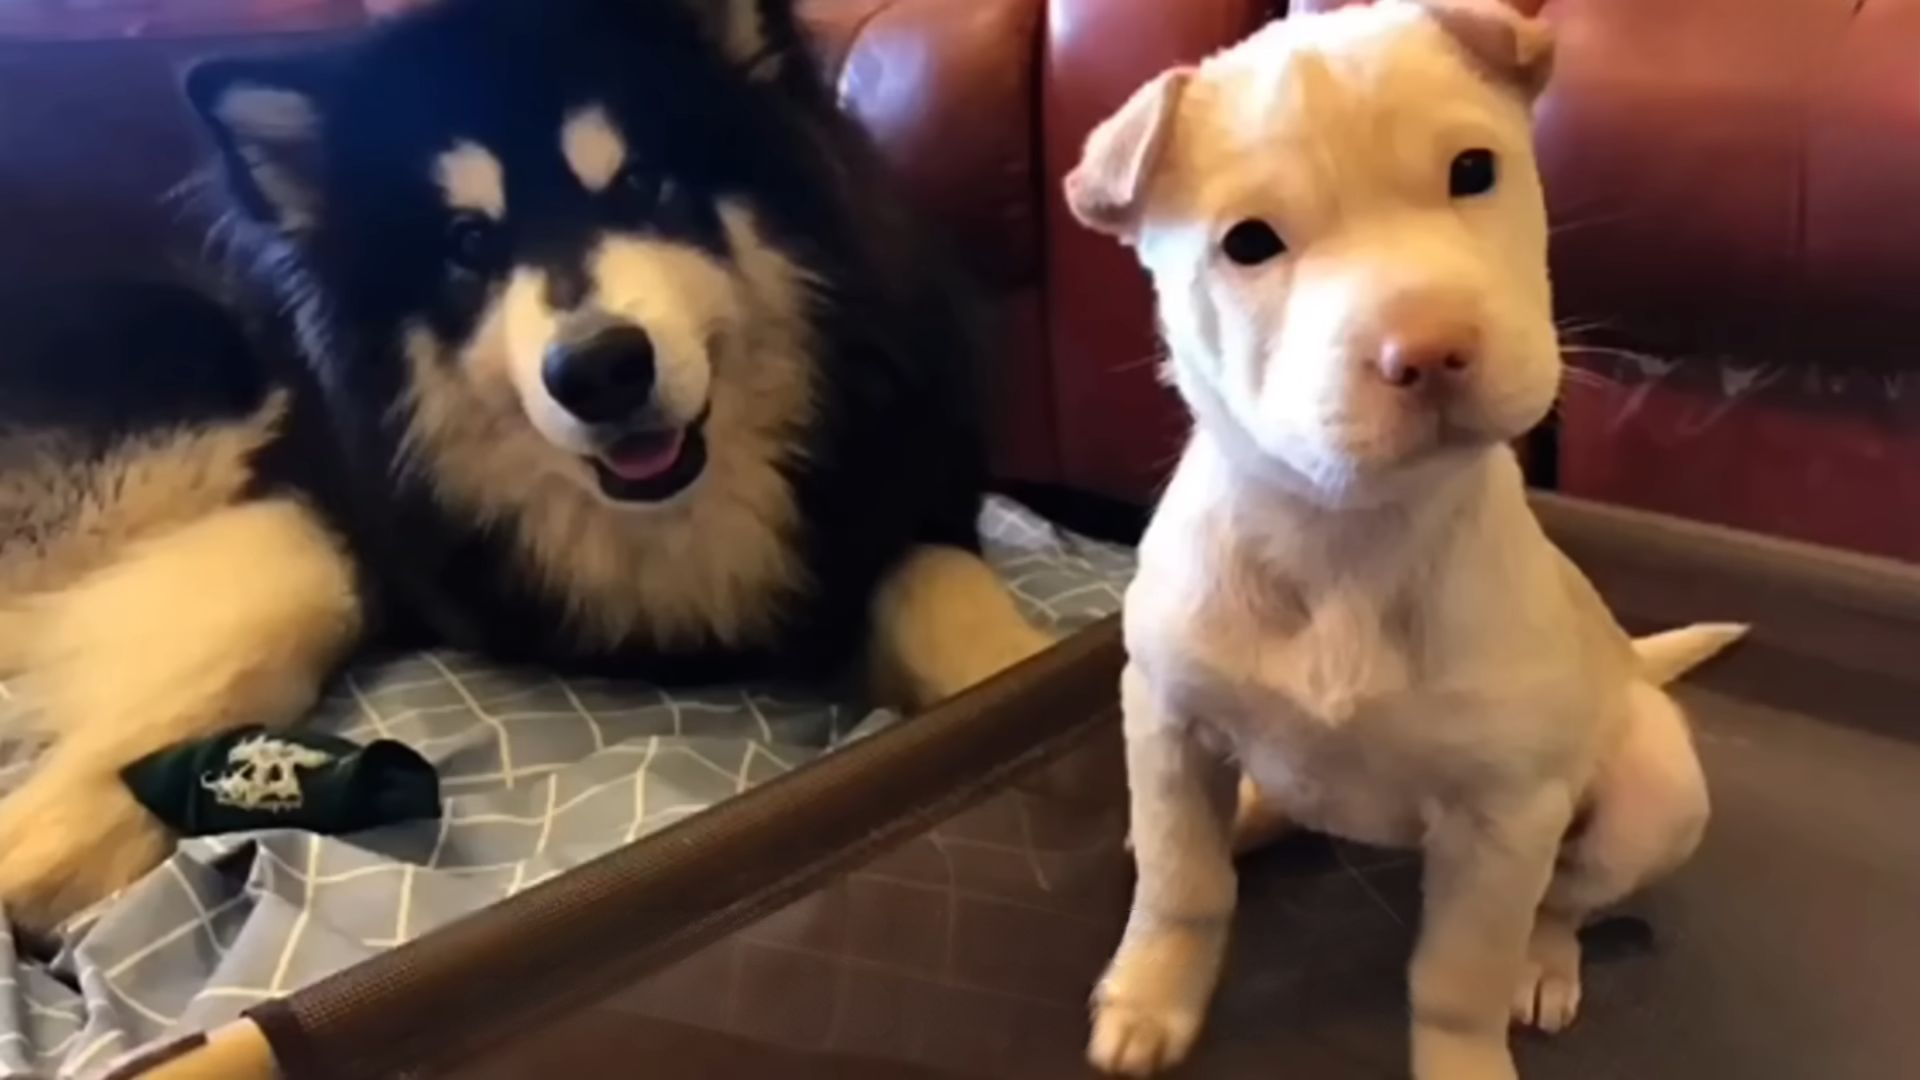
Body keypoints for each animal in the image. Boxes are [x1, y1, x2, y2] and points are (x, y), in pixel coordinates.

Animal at [1067, 4, 1758, 1068]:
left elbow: (1457, 974)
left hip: (1654, 797)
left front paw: (1464, 1059)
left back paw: (1543, 963)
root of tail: (1631, 666)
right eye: (1248, 243)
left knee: (1570, 898)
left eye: (1474, 170)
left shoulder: (1503, 821)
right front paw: (1150, 1000)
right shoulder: (1167, 717)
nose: (1429, 351)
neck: (1345, 536)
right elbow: (1186, 885)